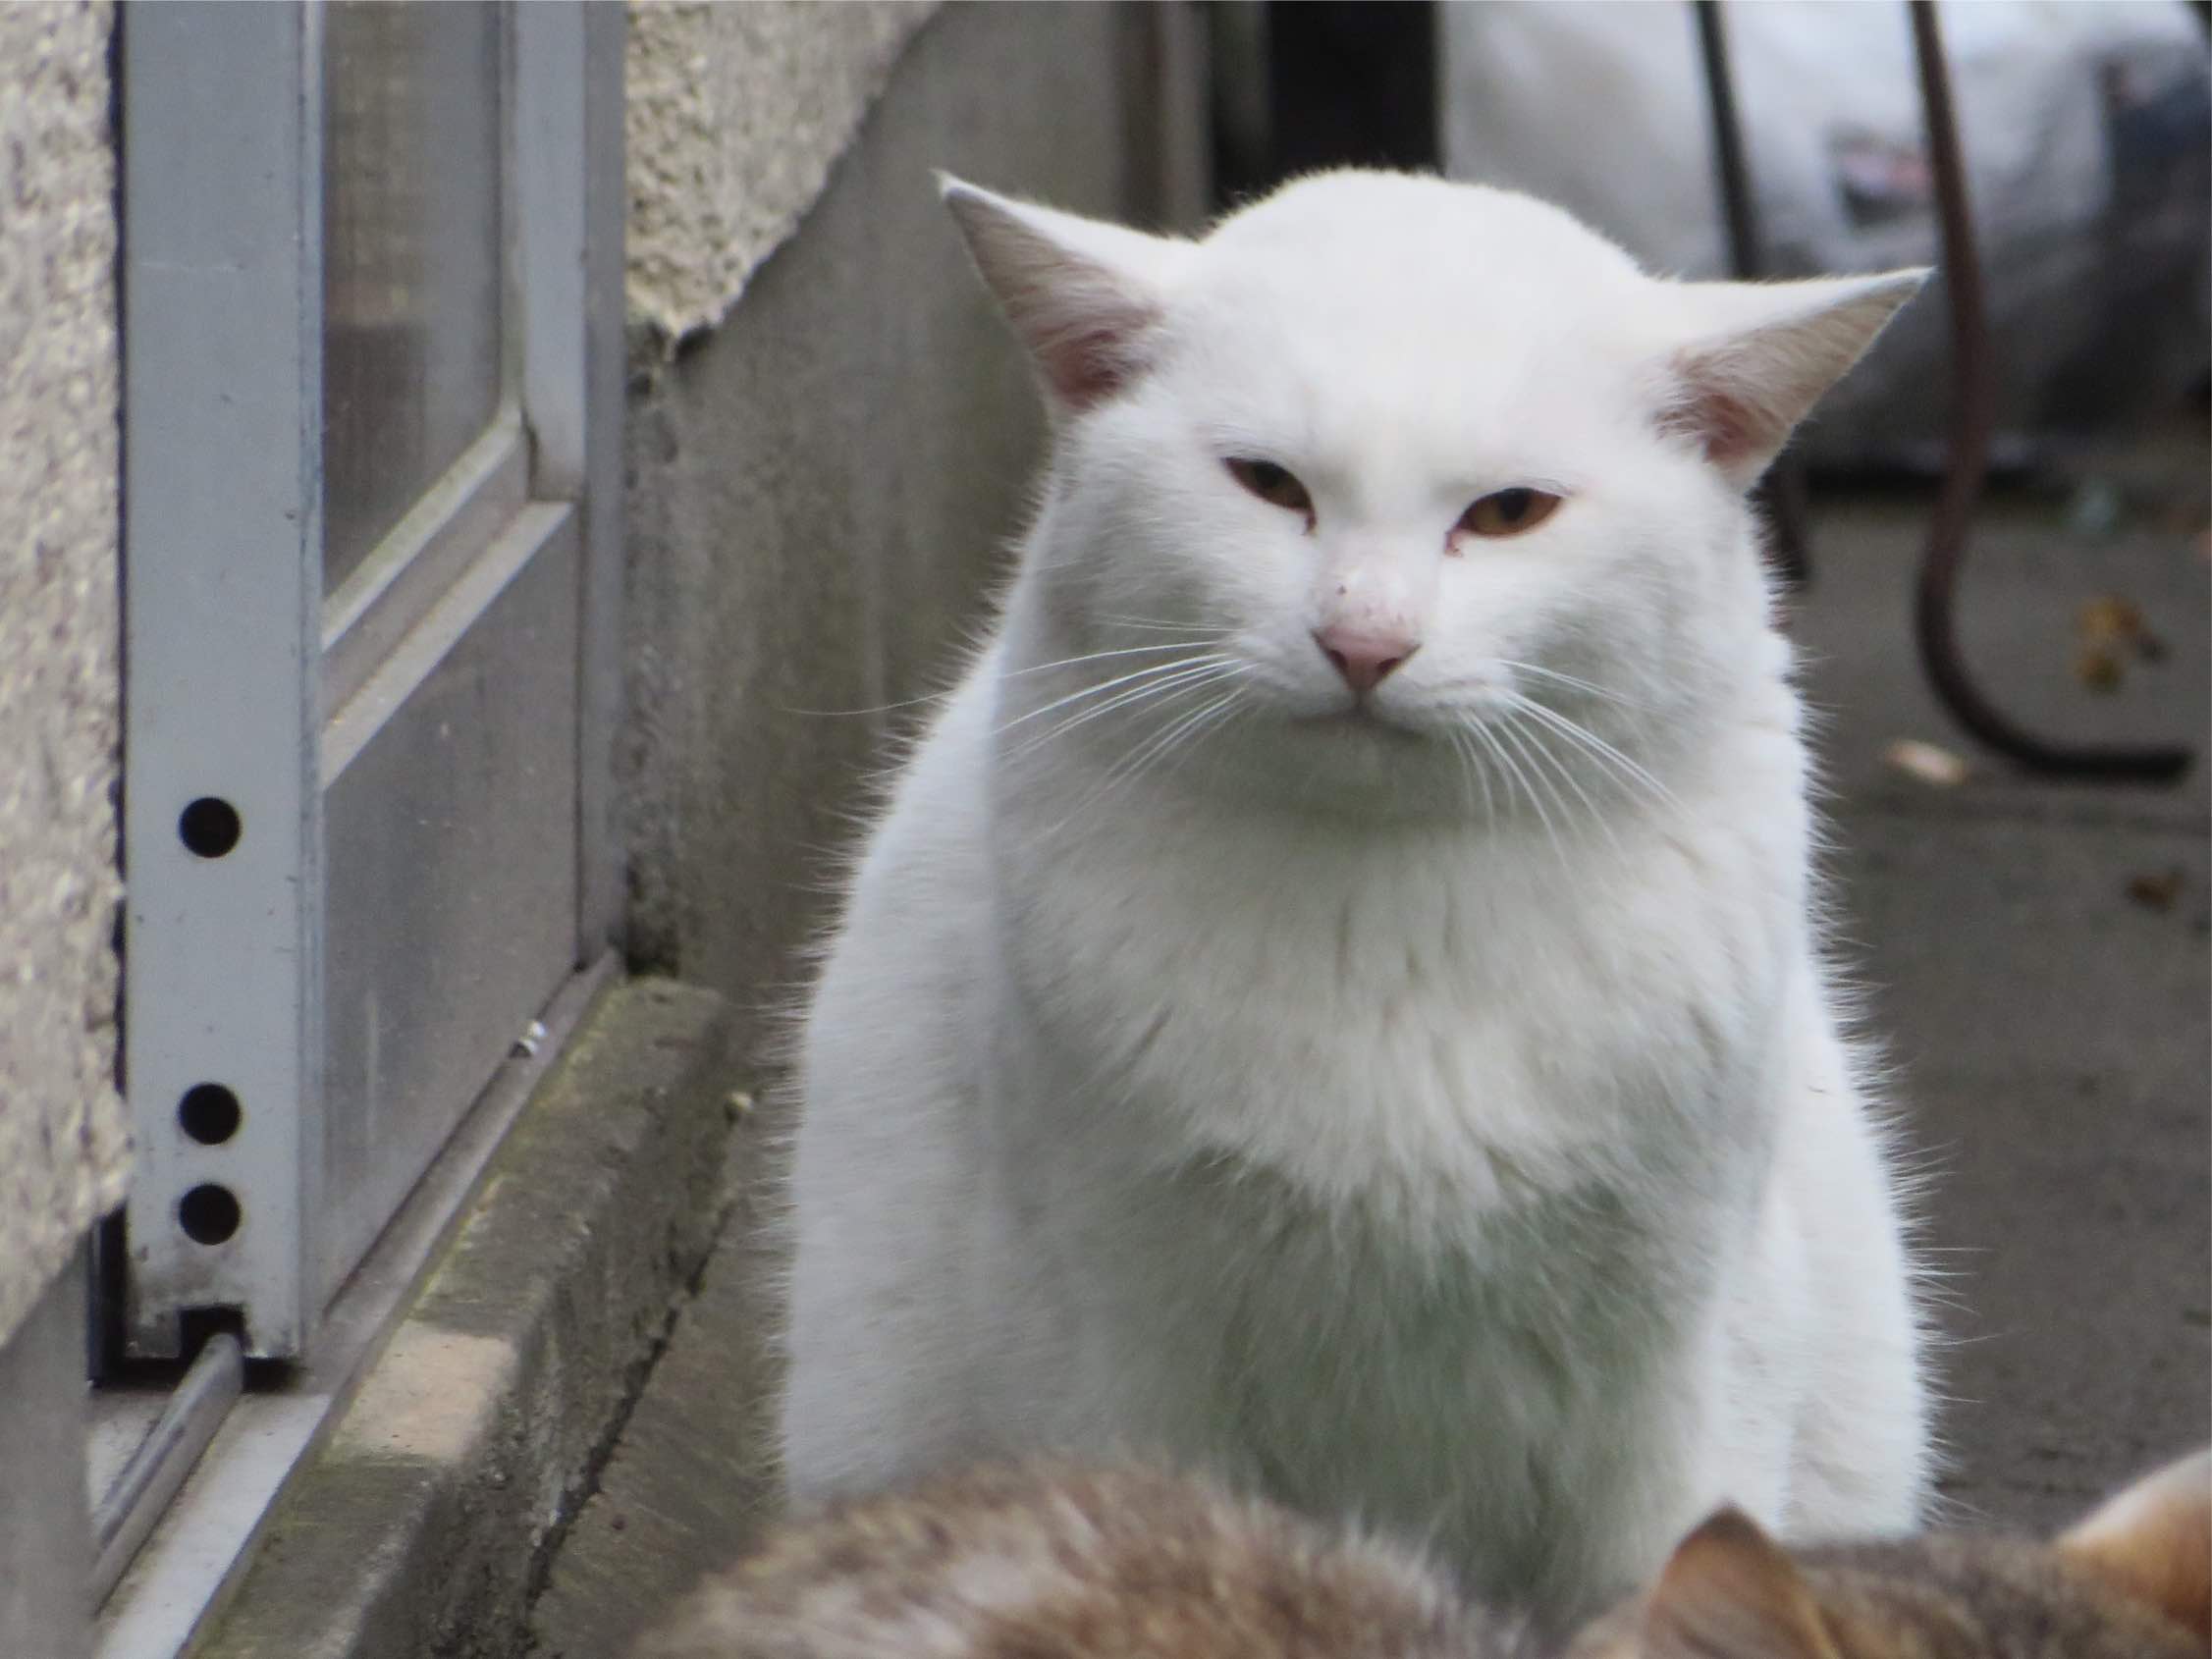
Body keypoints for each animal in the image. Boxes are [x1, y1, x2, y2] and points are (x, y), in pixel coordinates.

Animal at [780, 166, 1935, 1627]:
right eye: (1269, 486)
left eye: (1507, 513)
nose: (1364, 639)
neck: (1389, 918)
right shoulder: (1109, 1332)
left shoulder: (1686, 1363)